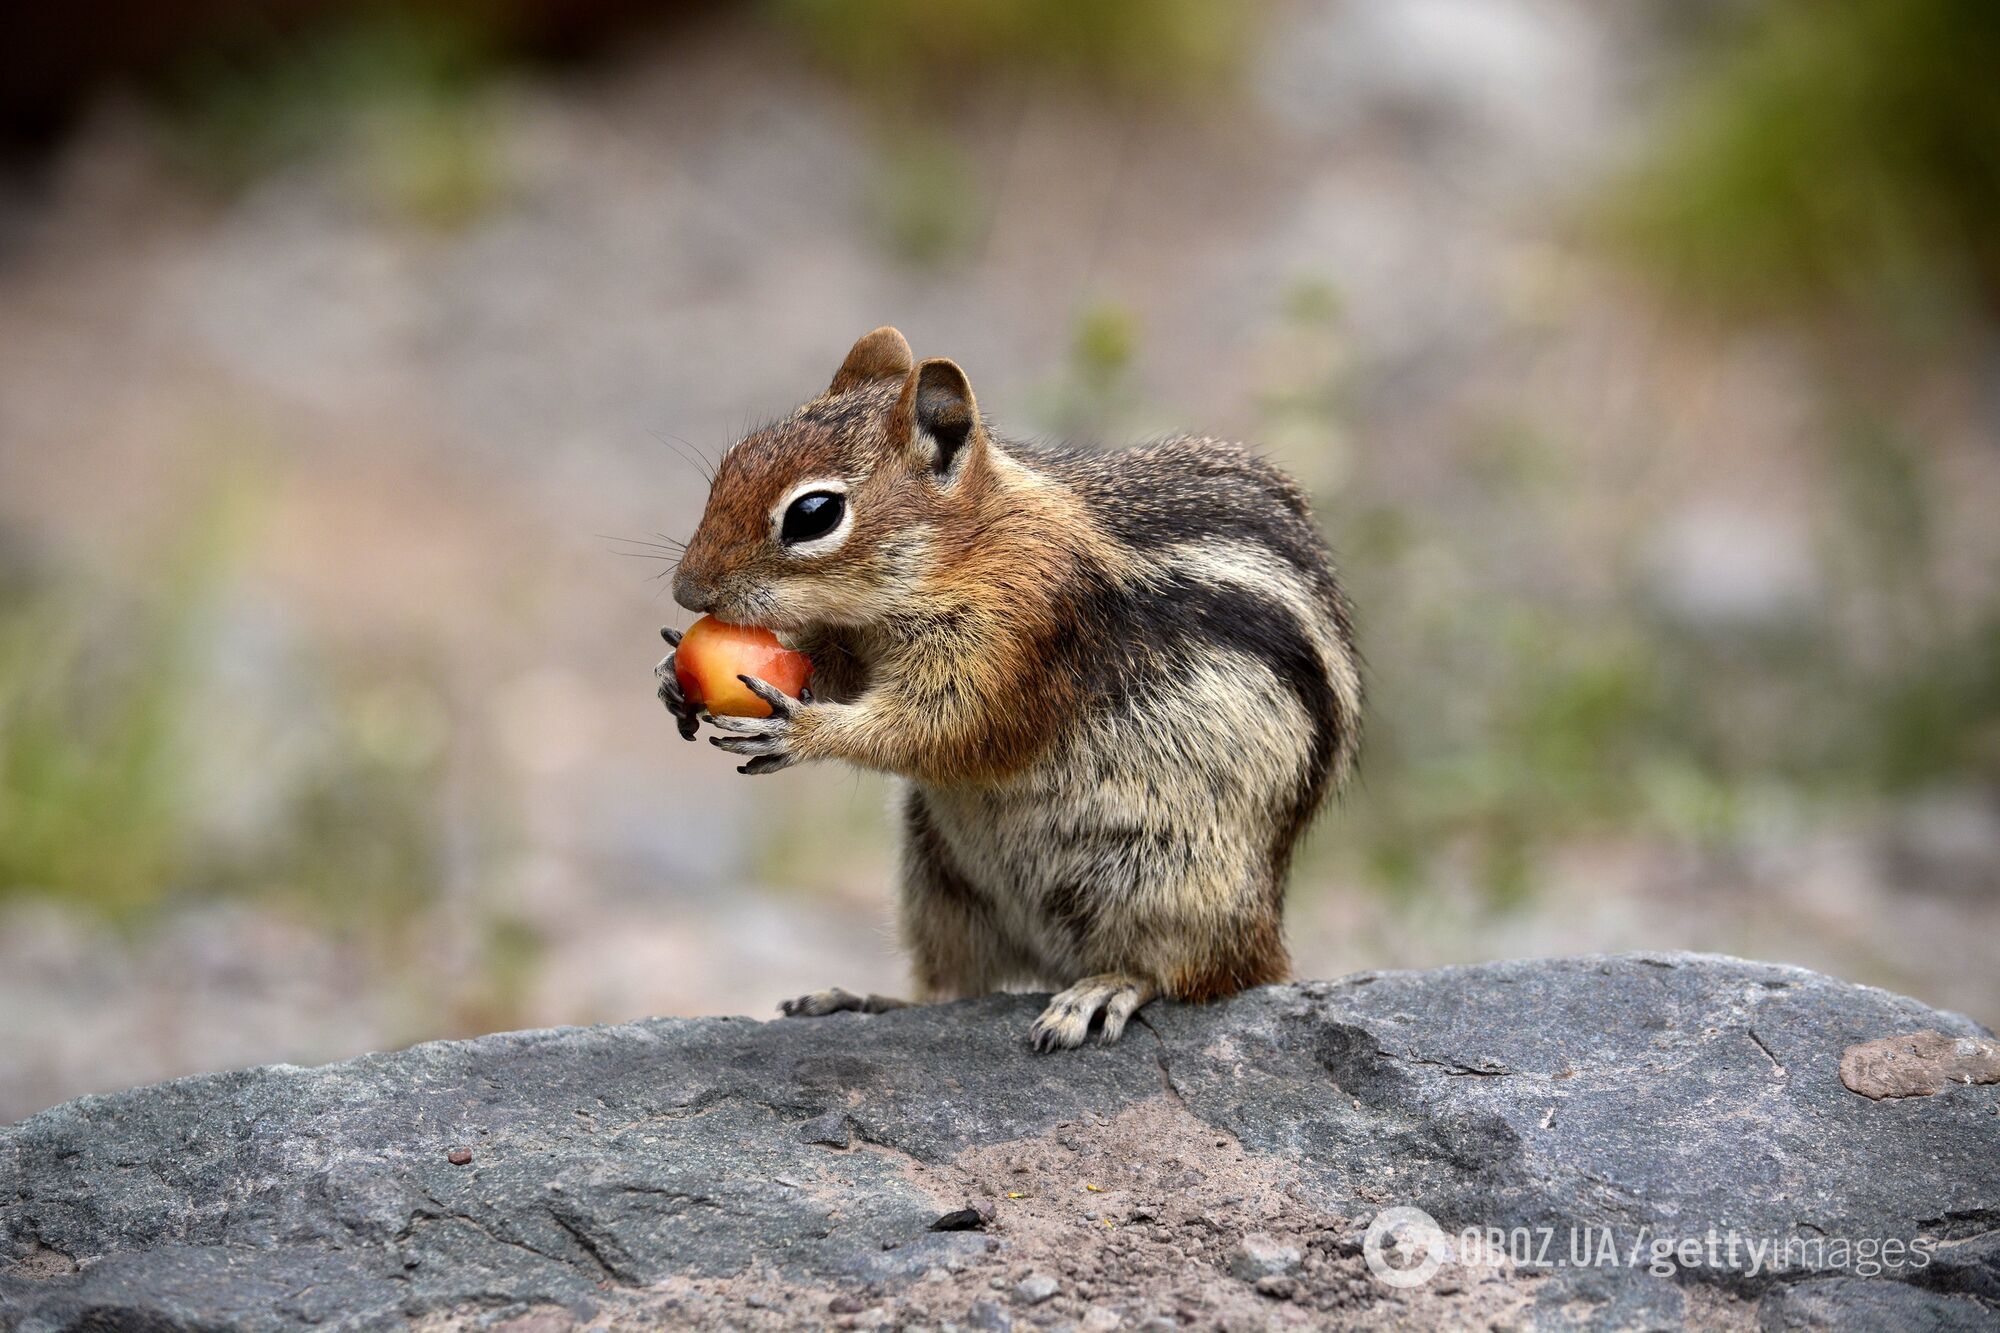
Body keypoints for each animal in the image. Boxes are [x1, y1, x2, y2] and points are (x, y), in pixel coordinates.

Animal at [656, 326, 1360, 1040]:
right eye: (731, 464)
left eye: (814, 514)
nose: (688, 591)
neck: (973, 544)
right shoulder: (862, 641)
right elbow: (837, 670)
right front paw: (672, 681)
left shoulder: (1018, 635)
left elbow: (946, 727)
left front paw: (803, 730)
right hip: (937, 877)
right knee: (954, 981)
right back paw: (869, 1000)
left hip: (1165, 874)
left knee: (1193, 971)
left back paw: (1106, 988)